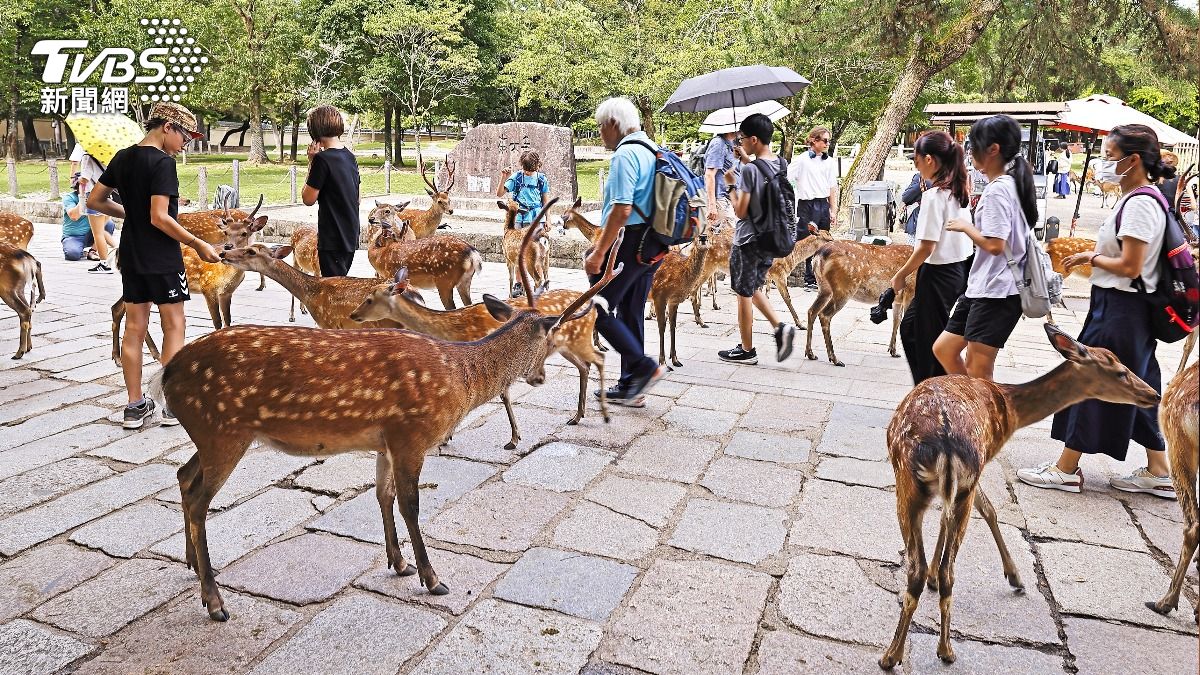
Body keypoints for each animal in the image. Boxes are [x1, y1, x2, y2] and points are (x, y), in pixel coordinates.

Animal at [879, 322, 1161, 669]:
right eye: (1121, 372)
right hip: (934, 478)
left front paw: (1007, 575)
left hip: (918, 484)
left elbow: (969, 515)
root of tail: (944, 442)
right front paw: (1014, 577)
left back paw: (901, 653)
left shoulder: (970, 476)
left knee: (924, 568)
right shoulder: (979, 466)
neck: (1009, 408)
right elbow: (987, 510)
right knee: (945, 567)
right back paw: (932, 650)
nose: (1154, 395)